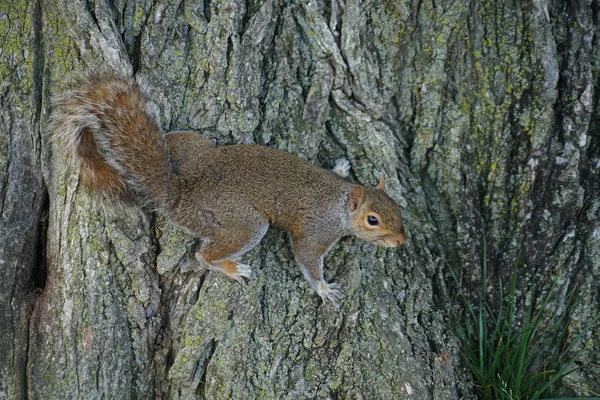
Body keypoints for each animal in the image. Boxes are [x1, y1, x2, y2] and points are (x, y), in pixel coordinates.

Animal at [49, 74, 408, 306]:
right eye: (373, 220)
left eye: (397, 207)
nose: (402, 241)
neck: (339, 202)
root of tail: (180, 192)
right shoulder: (316, 230)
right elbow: (307, 258)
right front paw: (324, 289)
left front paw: (343, 166)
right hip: (244, 224)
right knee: (204, 254)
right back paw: (233, 268)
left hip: (195, 147)